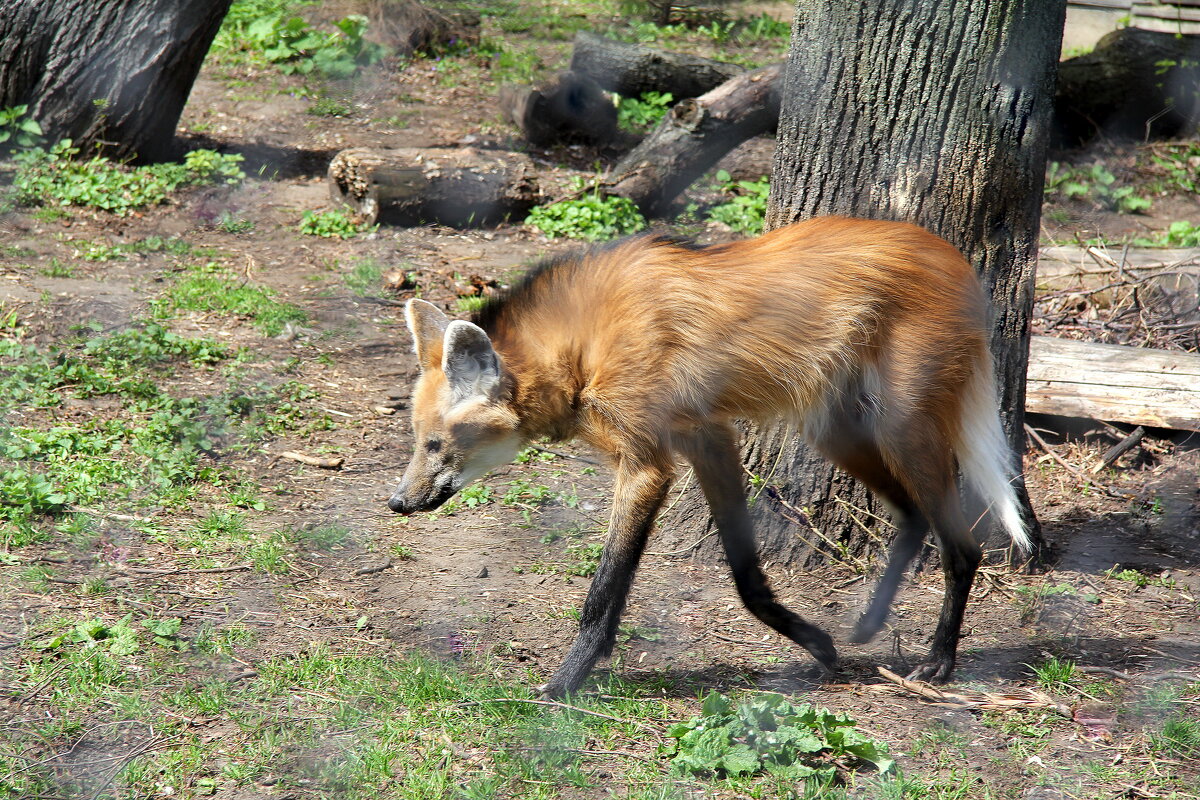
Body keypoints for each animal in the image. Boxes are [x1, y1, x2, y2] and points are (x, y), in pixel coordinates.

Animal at [388, 215, 1027, 695]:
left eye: (436, 444)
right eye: (417, 441)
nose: (398, 502)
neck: (581, 350)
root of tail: (954, 255)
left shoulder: (648, 466)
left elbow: (602, 591)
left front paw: (565, 682)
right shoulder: (709, 439)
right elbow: (745, 577)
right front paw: (818, 646)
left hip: (898, 425)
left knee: (963, 545)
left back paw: (939, 661)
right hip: (834, 429)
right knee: (913, 515)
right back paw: (868, 625)